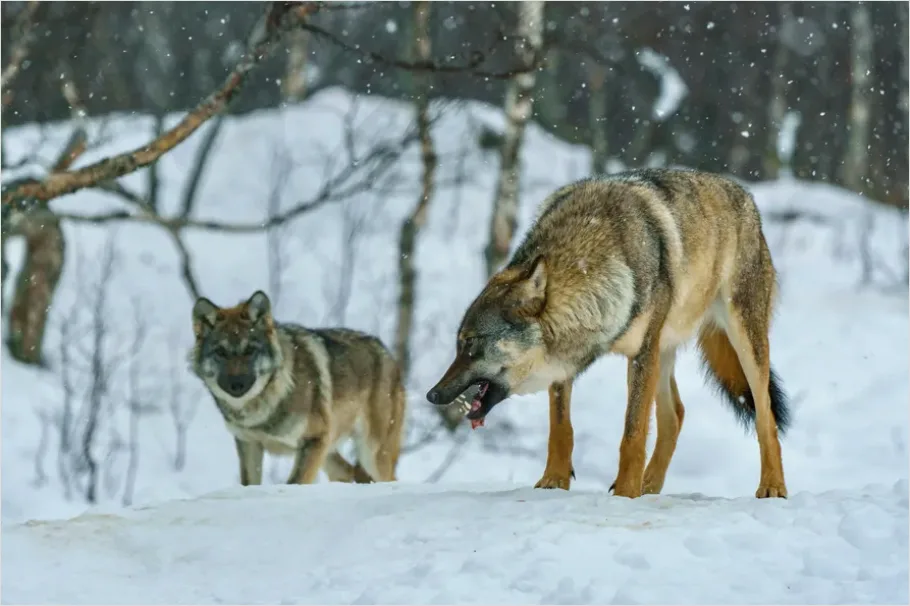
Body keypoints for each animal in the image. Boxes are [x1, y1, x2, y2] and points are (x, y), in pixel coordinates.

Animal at [189, 291, 406, 486]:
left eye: (250, 350)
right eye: (220, 352)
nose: (237, 384)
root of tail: (387, 353)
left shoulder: (313, 441)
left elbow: (295, 482)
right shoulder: (249, 444)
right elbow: (250, 483)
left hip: (371, 454)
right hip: (331, 453)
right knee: (346, 472)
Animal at [427, 168, 791, 499]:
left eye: (470, 343)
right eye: (458, 344)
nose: (432, 394)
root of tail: (744, 194)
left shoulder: (641, 354)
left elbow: (633, 433)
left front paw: (625, 494)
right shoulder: (567, 360)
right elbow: (561, 429)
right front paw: (553, 483)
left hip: (740, 341)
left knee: (766, 415)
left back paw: (772, 486)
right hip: (664, 350)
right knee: (675, 414)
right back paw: (650, 487)